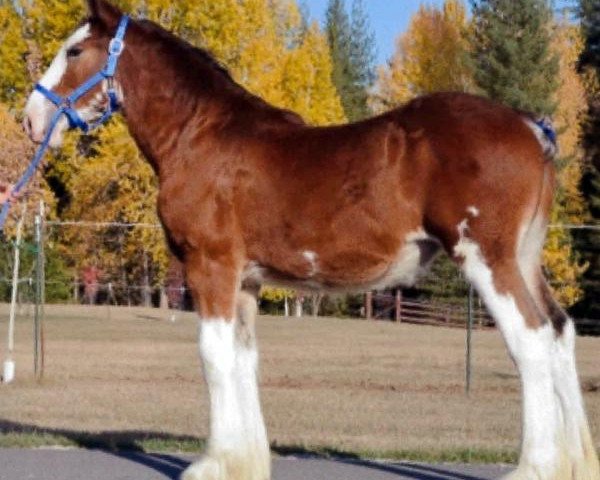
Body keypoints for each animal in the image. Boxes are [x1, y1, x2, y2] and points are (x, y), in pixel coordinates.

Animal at [23, 0, 600, 480]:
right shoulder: (247, 281)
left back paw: (533, 466)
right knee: (559, 331)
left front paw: (212, 463)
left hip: (487, 258)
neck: (200, 136)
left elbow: (213, 355)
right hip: (524, 259)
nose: (31, 118)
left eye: (74, 51)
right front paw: (246, 461)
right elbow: (243, 357)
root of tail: (530, 126)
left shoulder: (210, 265)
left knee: (530, 340)